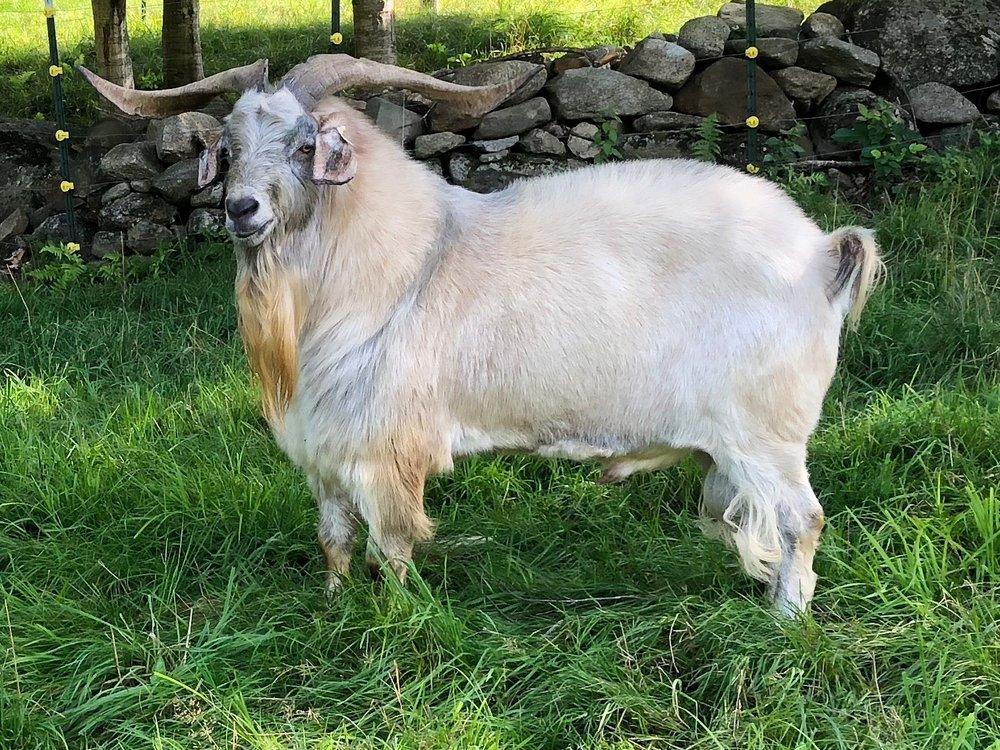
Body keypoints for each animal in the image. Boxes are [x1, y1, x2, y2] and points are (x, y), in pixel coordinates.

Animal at [86, 54, 884, 616]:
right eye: (229, 144)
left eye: (305, 143)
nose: (241, 210)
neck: (400, 267)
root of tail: (821, 255)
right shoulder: (327, 449)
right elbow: (335, 540)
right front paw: (333, 608)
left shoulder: (384, 448)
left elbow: (392, 548)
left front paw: (397, 622)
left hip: (765, 433)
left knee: (803, 519)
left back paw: (786, 619)